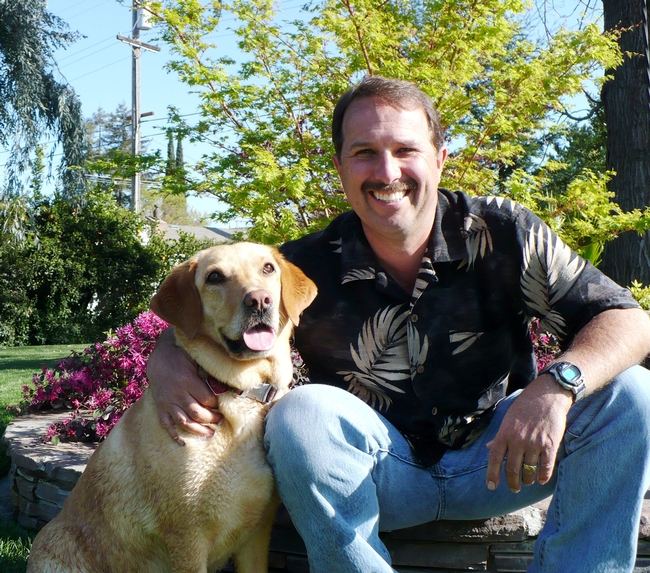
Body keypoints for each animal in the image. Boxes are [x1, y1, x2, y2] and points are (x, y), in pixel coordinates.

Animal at [27, 244, 316, 572]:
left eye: (268, 268)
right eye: (215, 277)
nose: (259, 300)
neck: (241, 392)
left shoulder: (256, 535)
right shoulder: (186, 537)